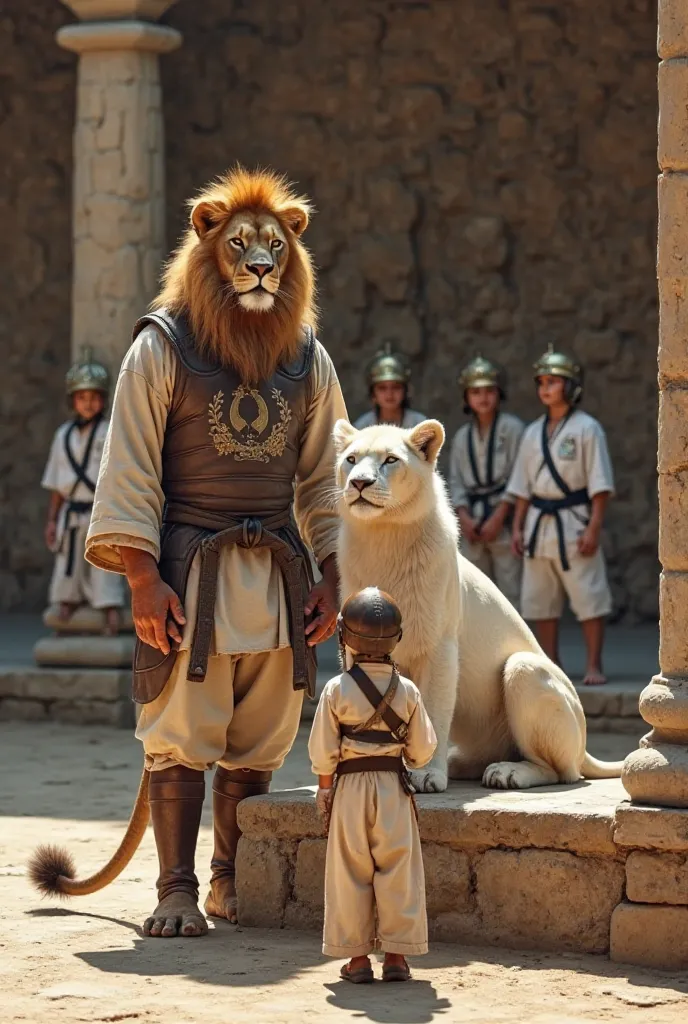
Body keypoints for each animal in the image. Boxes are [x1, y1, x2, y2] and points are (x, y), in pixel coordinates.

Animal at [29, 165, 346, 937]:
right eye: (237, 244)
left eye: (275, 245)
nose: (261, 269)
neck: (246, 326)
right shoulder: (140, 375)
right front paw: (177, 909)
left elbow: (322, 481)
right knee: (177, 764)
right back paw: (178, 906)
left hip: (278, 666)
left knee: (242, 770)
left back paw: (227, 893)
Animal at [333, 419, 622, 794]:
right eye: (351, 459)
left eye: (391, 460)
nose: (359, 483)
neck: (382, 536)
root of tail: (585, 743)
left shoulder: (440, 643)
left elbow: (434, 708)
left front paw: (426, 776)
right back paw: (463, 764)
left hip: (526, 670)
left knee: (561, 770)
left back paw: (506, 773)